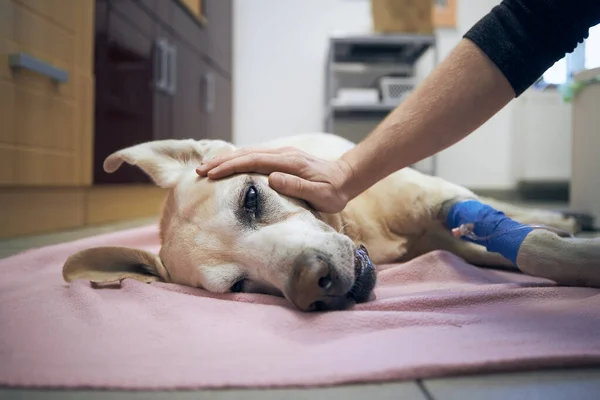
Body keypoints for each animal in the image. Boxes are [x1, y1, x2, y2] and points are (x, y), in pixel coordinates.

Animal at [62, 133, 600, 310]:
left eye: (251, 198)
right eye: (239, 286)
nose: (311, 283)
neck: (361, 229)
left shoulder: (439, 199)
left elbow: (535, 247)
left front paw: (578, 251)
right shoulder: (454, 238)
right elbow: (523, 249)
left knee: (510, 211)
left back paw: (564, 214)